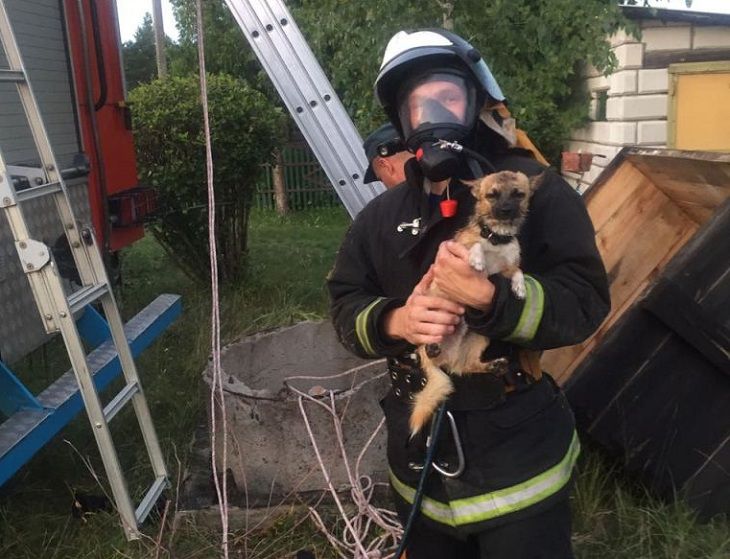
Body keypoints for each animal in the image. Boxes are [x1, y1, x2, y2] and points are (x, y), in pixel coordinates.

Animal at [410, 171, 540, 438]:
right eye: (491, 195)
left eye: (519, 194)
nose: (506, 210)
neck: (497, 238)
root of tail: (447, 359)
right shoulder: (458, 249)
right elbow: (477, 245)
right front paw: (478, 259)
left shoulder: (505, 269)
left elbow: (518, 271)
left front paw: (520, 288)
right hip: (433, 324)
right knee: (432, 348)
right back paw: (432, 348)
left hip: (480, 339)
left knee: (467, 367)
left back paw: (494, 366)